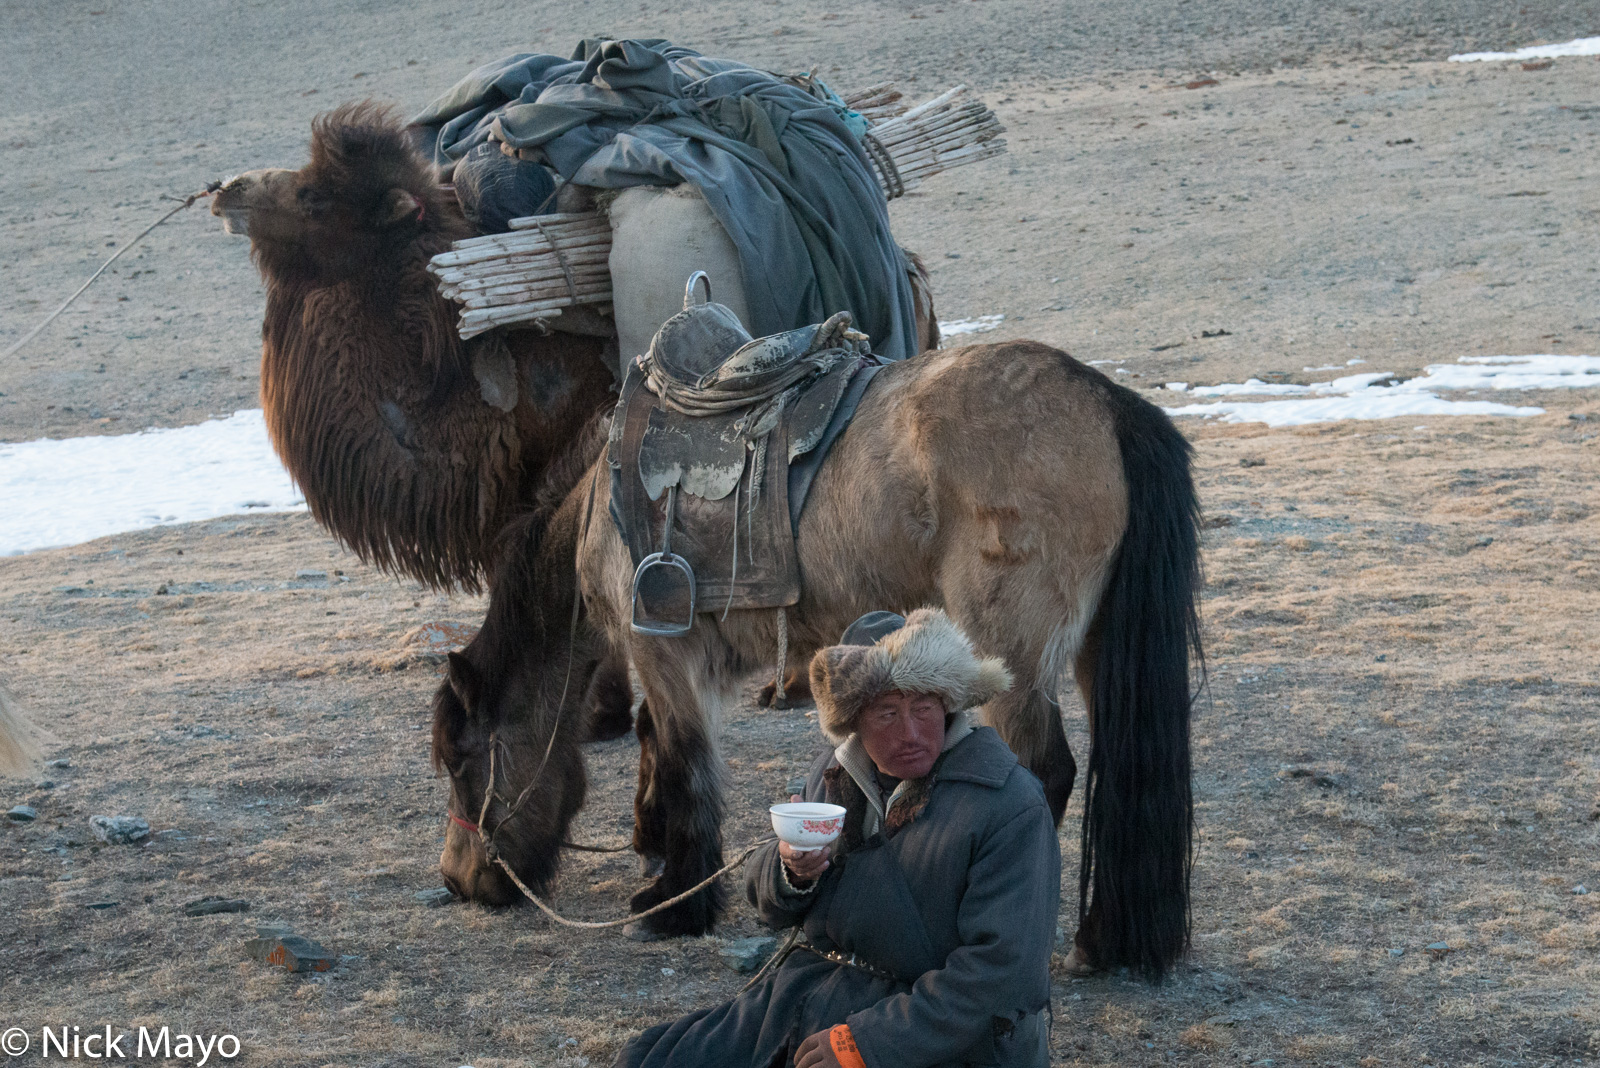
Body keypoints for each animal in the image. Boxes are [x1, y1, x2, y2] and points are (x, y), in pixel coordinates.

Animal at [428, 337, 1203, 978]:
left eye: (462, 762)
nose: (457, 880)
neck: (605, 508)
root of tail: (1108, 404)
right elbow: (654, 743)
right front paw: (656, 855)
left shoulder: (664, 655)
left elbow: (682, 763)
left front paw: (676, 903)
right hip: (1095, 655)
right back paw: (1102, 943)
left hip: (1006, 657)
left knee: (1043, 773)